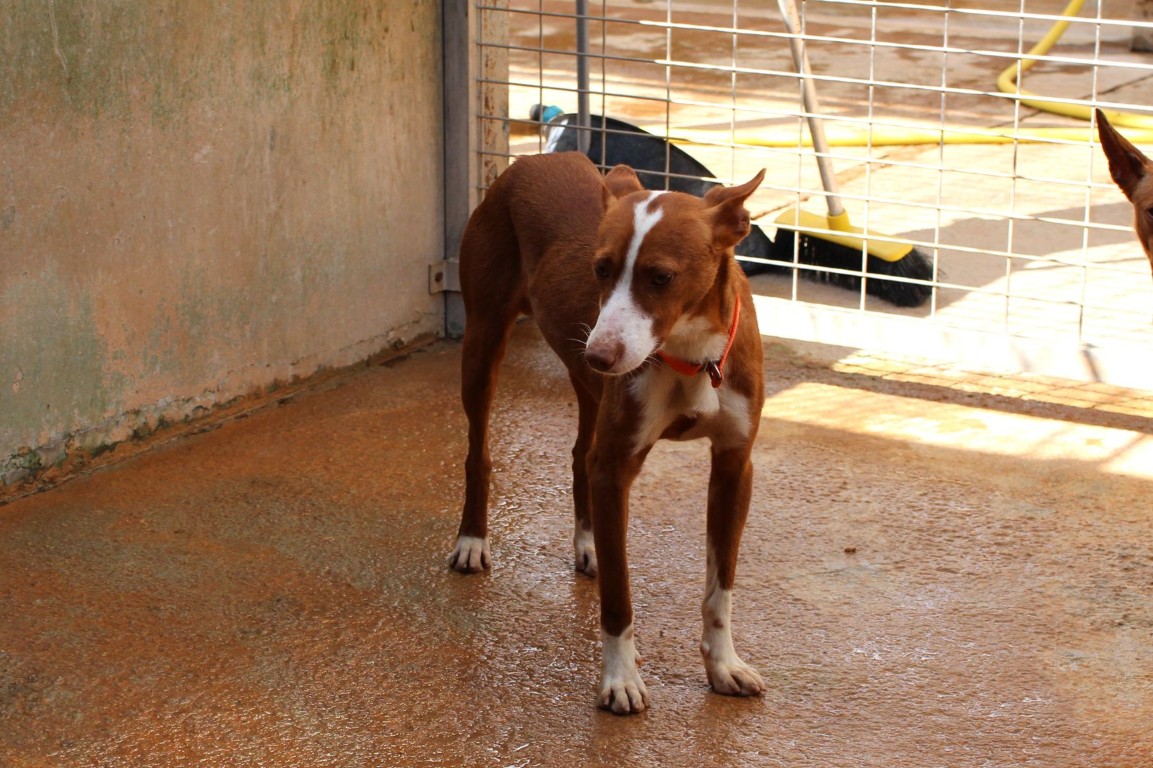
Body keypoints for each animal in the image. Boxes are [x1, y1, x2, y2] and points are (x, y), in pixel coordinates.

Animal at [449, 151, 766, 714]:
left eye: (660, 277)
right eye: (601, 269)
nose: (599, 353)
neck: (689, 357)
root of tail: (535, 157)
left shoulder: (734, 466)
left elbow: (720, 587)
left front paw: (723, 665)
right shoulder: (617, 465)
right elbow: (619, 597)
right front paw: (620, 679)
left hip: (589, 390)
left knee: (581, 456)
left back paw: (589, 542)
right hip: (485, 341)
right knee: (479, 453)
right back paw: (472, 540)